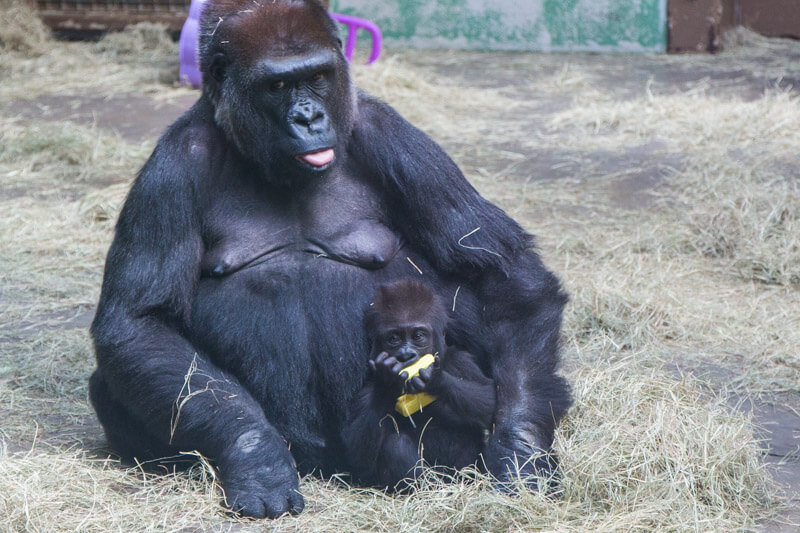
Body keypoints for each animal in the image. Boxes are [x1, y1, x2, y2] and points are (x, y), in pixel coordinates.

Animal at [342, 280, 496, 488]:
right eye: (394, 338)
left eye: (418, 336)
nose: (407, 355)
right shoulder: (367, 387)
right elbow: (357, 455)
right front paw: (387, 383)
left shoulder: (462, 361)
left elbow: (493, 398)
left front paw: (435, 380)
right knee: (396, 446)